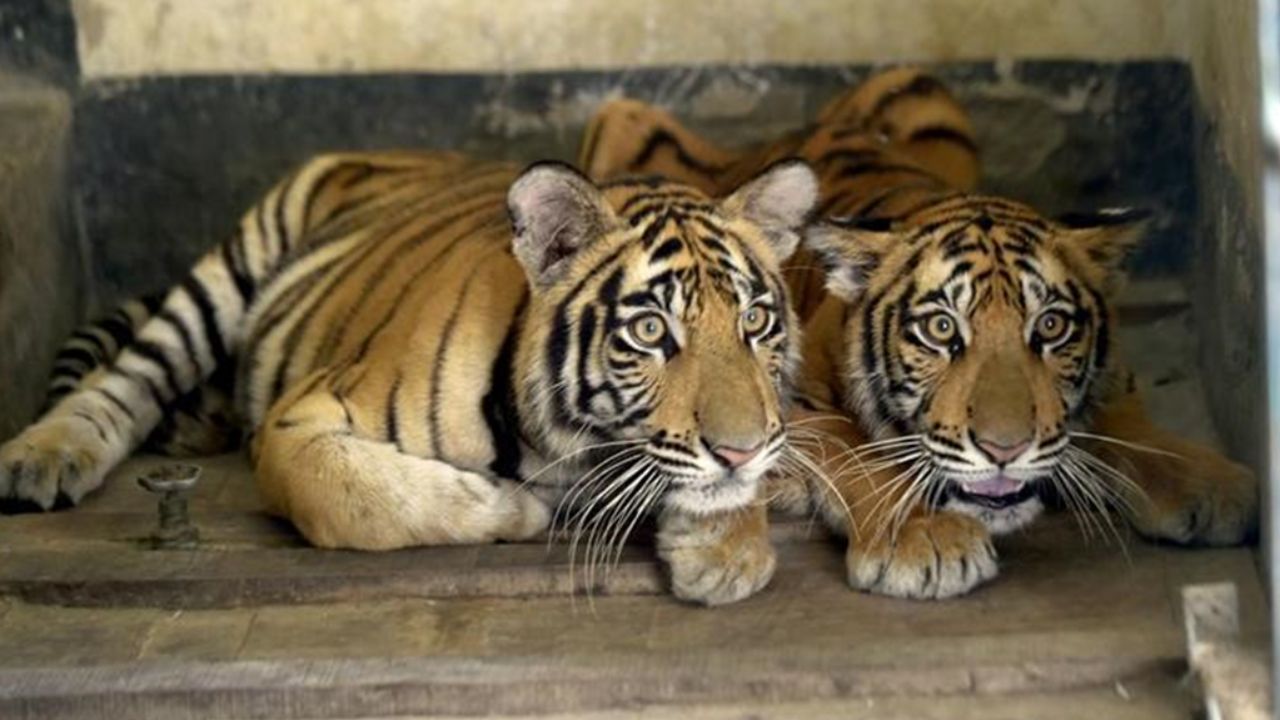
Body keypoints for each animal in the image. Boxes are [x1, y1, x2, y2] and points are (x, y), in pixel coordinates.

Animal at [0, 151, 819, 604]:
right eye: (650, 331)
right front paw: (515, 509)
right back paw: (43, 457)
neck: (572, 452)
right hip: (227, 271)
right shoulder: (299, 421)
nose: (741, 450)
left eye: (755, 322)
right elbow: (359, 500)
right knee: (126, 380)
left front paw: (727, 552)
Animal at [581, 67, 1259, 597]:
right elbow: (858, 454)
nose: (1006, 449)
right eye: (939, 329)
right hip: (621, 116)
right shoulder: (794, 404)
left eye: (1051, 326)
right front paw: (923, 538)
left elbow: (1129, 424)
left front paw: (1211, 486)